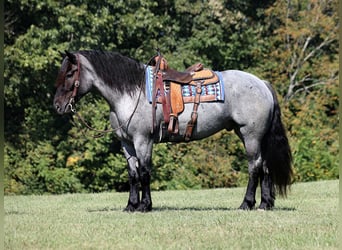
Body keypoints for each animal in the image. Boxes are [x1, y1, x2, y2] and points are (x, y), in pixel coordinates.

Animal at [54, 49, 294, 212]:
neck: (131, 93)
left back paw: (247, 203)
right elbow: (133, 174)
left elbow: (145, 172)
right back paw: (265, 204)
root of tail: (262, 83)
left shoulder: (143, 140)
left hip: (250, 136)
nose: (57, 105)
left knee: (254, 167)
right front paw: (131, 205)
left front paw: (145, 205)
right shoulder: (127, 143)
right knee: (265, 167)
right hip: (253, 136)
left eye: (70, 73)